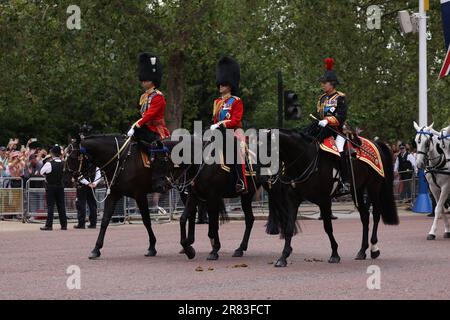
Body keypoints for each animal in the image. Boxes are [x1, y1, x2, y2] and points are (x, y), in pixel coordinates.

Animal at [266, 130, 400, 268]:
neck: (304, 161)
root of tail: (375, 143)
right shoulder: (293, 199)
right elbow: (289, 227)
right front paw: (283, 257)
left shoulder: (324, 200)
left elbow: (328, 227)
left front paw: (335, 254)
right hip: (357, 190)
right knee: (365, 216)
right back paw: (362, 251)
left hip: (373, 187)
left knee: (376, 214)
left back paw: (374, 249)